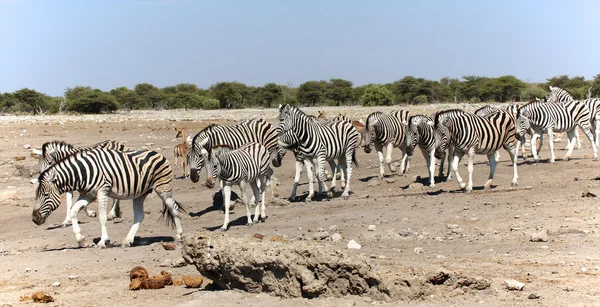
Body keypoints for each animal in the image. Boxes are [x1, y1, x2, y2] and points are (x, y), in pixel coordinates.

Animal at [30, 148, 184, 249]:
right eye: (36, 195)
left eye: (46, 195)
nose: (34, 218)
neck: (82, 173)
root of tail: (157, 153)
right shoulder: (88, 195)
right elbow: (73, 210)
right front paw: (80, 239)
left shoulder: (102, 192)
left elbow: (102, 217)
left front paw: (103, 241)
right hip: (140, 194)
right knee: (139, 215)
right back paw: (127, 240)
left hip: (163, 187)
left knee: (174, 208)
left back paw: (180, 236)